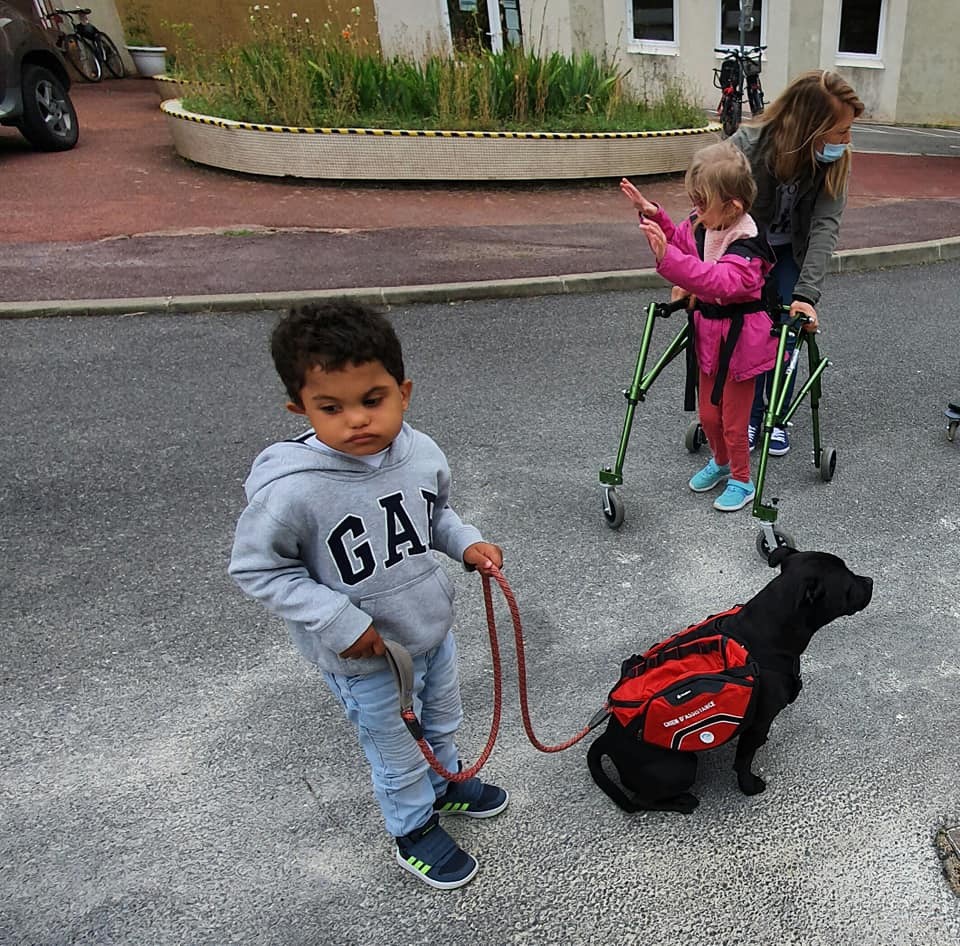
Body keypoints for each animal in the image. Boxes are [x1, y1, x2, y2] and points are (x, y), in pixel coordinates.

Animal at [588, 544, 872, 812]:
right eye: (848, 582)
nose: (870, 580)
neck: (767, 631)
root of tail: (607, 739)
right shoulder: (759, 721)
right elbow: (744, 760)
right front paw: (748, 786)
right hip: (680, 768)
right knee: (640, 801)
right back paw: (683, 802)